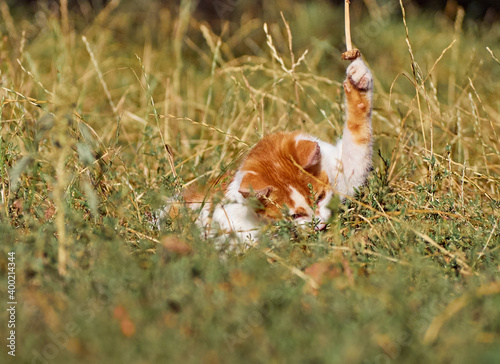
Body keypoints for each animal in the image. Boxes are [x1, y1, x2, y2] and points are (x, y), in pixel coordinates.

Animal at [160, 58, 372, 245]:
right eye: (295, 215)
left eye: (320, 198)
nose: (320, 226)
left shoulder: (345, 172)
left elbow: (357, 135)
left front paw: (358, 79)